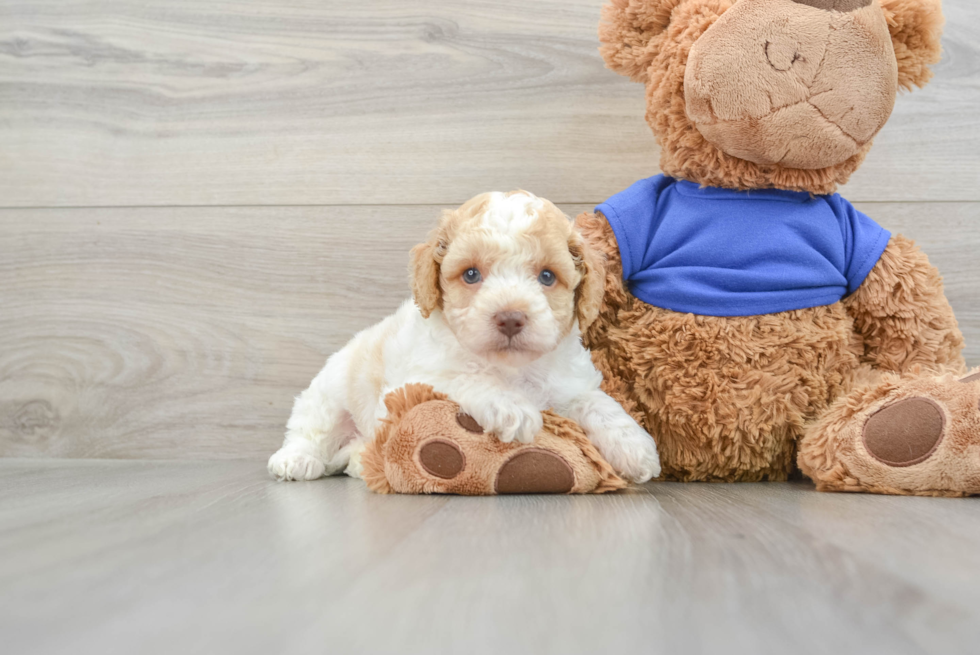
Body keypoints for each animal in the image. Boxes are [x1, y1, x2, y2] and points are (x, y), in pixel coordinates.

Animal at [270, 190, 660, 482]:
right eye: (471, 274)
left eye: (547, 277)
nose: (510, 318)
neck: (512, 369)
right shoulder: (411, 381)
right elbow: (465, 376)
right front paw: (510, 407)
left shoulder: (568, 383)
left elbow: (597, 402)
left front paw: (635, 446)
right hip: (329, 394)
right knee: (309, 428)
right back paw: (295, 459)